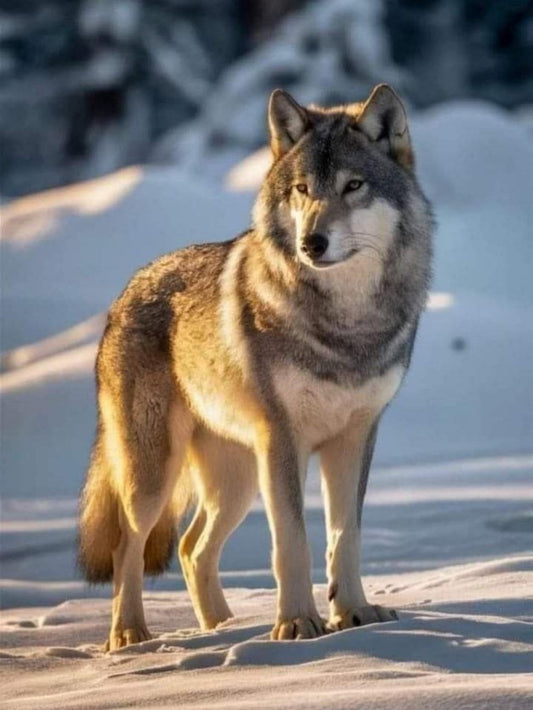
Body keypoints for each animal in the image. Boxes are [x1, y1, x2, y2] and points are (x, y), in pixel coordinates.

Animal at [79, 84, 433, 650]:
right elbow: (292, 541)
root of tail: (125, 292)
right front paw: (297, 623)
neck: (346, 326)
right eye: (302, 189)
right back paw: (130, 635)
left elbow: (345, 537)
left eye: (353, 185)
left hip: (238, 479)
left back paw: (223, 629)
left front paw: (354, 614)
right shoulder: (284, 441)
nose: (312, 242)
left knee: (191, 548)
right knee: (126, 546)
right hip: (156, 475)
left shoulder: (355, 438)